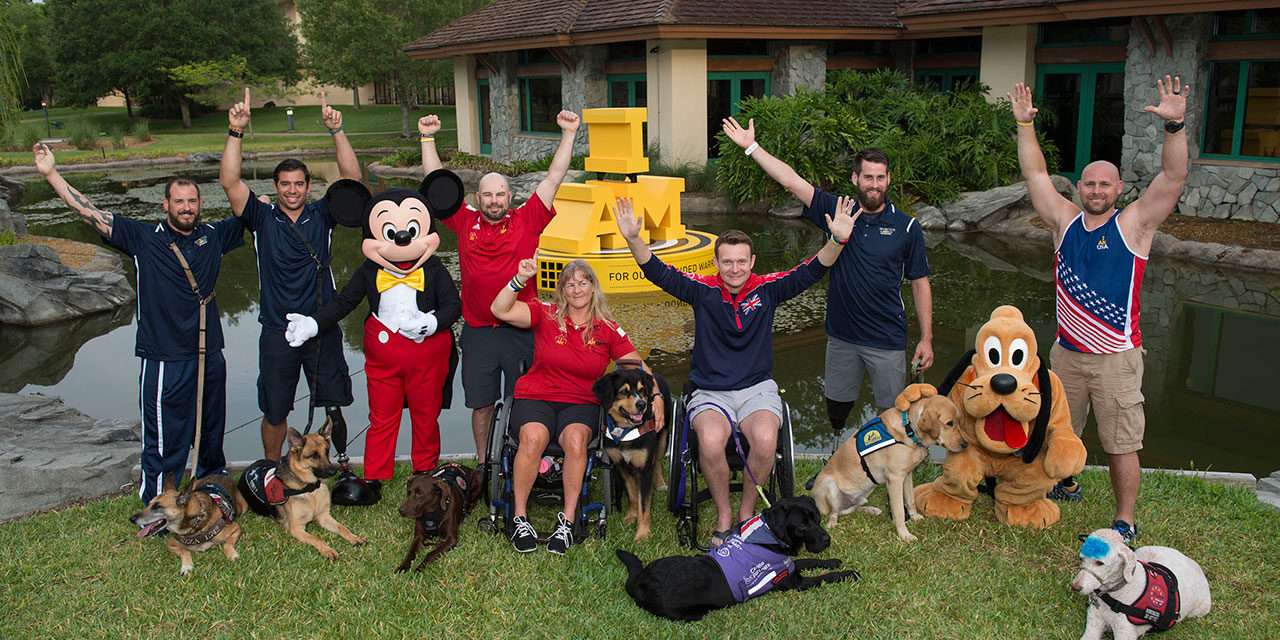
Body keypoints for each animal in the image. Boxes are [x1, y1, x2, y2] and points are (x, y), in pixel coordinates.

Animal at [236, 417, 366, 558]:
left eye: (327, 451)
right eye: (313, 455)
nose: (334, 471)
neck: (310, 489)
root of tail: (249, 468)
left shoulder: (324, 517)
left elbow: (342, 527)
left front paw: (354, 537)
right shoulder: (297, 528)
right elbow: (316, 538)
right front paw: (327, 550)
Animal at [588, 366, 670, 540]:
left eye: (641, 390)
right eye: (623, 391)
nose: (641, 404)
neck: (626, 431)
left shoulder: (644, 469)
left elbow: (644, 505)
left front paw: (643, 534)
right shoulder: (621, 465)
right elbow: (632, 495)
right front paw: (631, 517)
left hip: (663, 439)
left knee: (657, 462)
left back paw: (660, 483)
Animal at [614, 496, 855, 622]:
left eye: (817, 518)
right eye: (802, 526)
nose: (827, 539)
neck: (769, 534)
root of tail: (638, 581)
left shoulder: (790, 565)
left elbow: (811, 562)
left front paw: (833, 561)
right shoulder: (794, 582)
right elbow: (825, 577)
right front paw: (847, 573)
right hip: (694, 613)